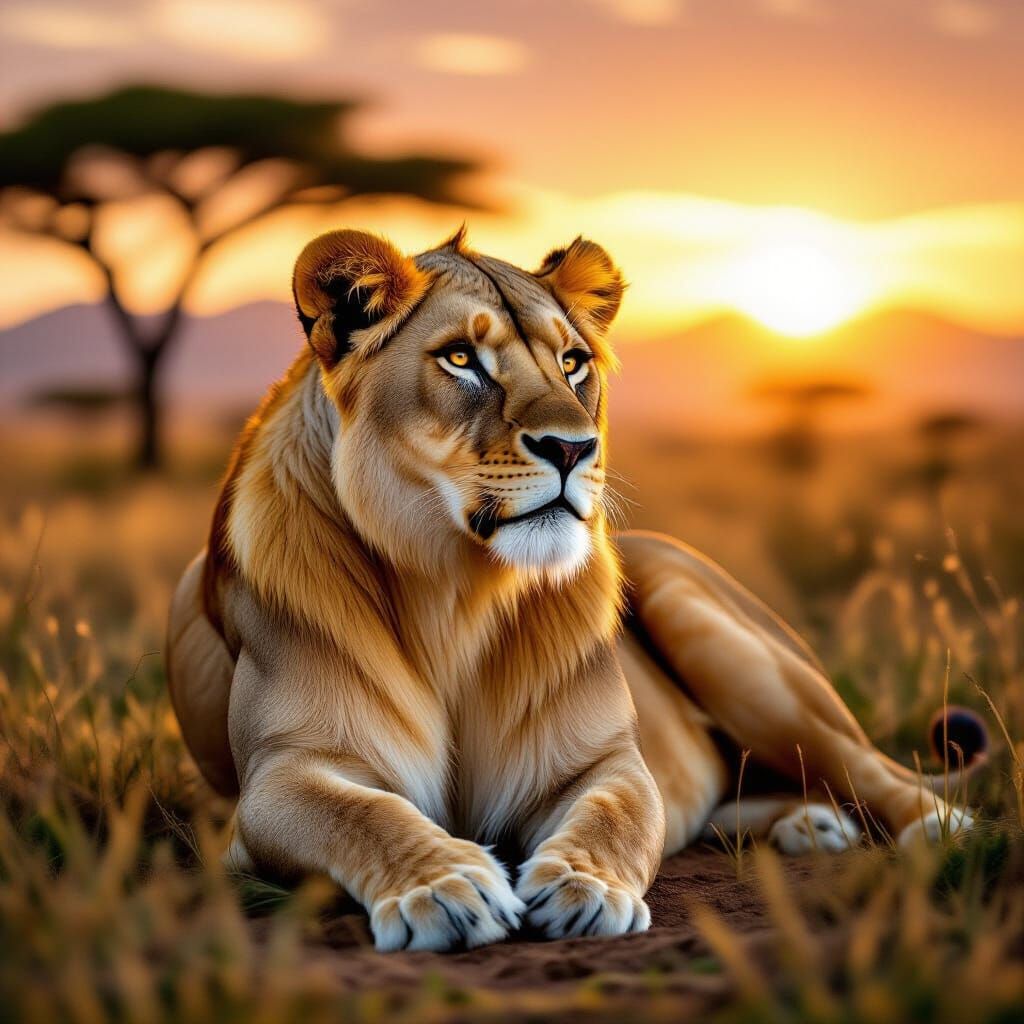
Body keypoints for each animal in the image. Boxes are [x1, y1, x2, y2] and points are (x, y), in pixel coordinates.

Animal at [167, 227, 985, 953]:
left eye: (573, 362)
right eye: (461, 358)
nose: (572, 448)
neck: (456, 591)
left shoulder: (606, 759)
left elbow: (613, 816)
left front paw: (582, 887)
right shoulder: (278, 780)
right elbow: (361, 815)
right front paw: (445, 888)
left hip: (726, 641)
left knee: (869, 766)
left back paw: (943, 833)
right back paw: (808, 824)